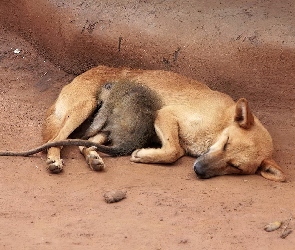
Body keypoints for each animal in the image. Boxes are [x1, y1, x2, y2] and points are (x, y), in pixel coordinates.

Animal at [42, 65, 286, 181]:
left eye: (236, 167)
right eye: (225, 143)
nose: (198, 170)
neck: (219, 123)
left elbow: (175, 150)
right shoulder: (166, 114)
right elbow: (174, 150)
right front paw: (144, 155)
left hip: (109, 122)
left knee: (85, 144)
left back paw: (93, 157)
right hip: (84, 108)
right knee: (57, 139)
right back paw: (54, 159)